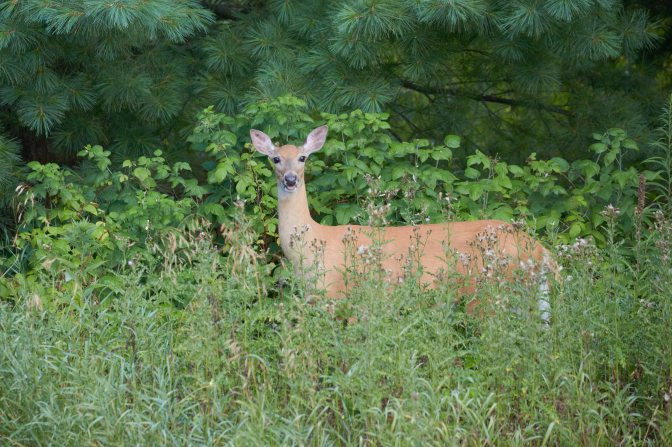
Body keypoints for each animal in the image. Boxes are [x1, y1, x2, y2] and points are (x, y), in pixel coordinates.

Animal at [250, 125, 556, 319]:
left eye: (302, 157)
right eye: (275, 158)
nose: (290, 179)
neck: (315, 241)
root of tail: (541, 250)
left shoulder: (343, 297)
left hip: (487, 293)